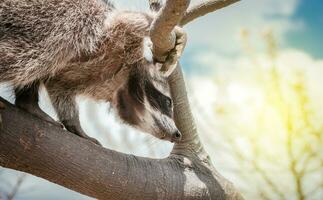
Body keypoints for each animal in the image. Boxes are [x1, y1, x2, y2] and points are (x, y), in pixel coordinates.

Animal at [0, 0, 186, 144]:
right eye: (168, 101)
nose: (178, 134)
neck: (120, 82)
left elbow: (59, 89)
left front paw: (74, 124)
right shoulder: (108, 33)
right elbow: (128, 20)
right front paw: (174, 33)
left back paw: (28, 102)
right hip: (42, 22)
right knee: (30, 58)